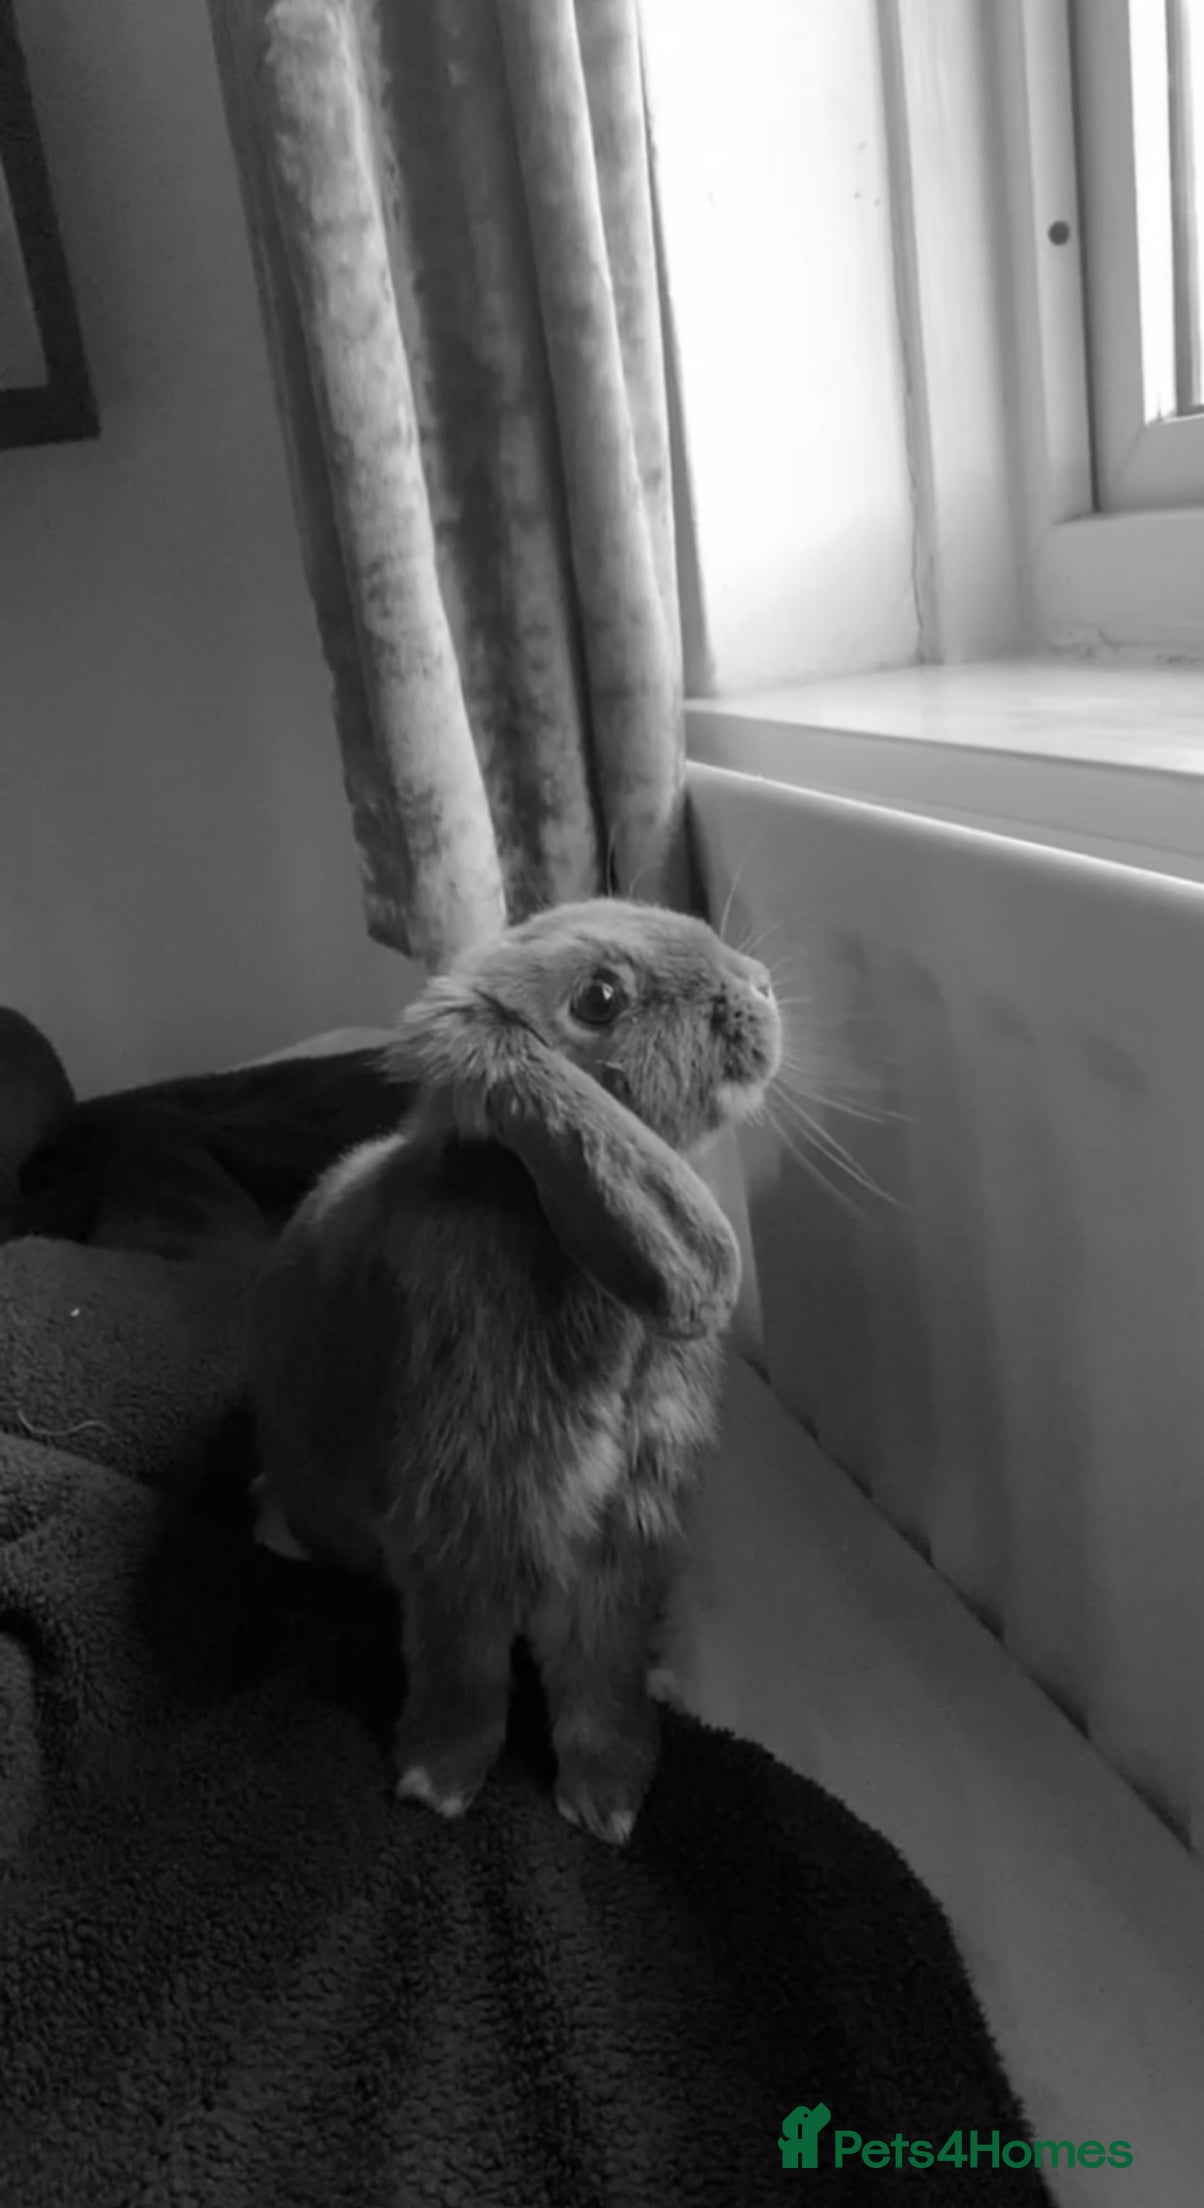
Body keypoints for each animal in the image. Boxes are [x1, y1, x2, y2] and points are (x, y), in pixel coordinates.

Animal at [251, 898, 782, 1844]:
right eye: (600, 998)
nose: (759, 986)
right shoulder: (461, 1522)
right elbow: (464, 1667)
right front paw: (436, 1782)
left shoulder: (624, 1535)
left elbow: (599, 1674)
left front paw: (609, 1801)